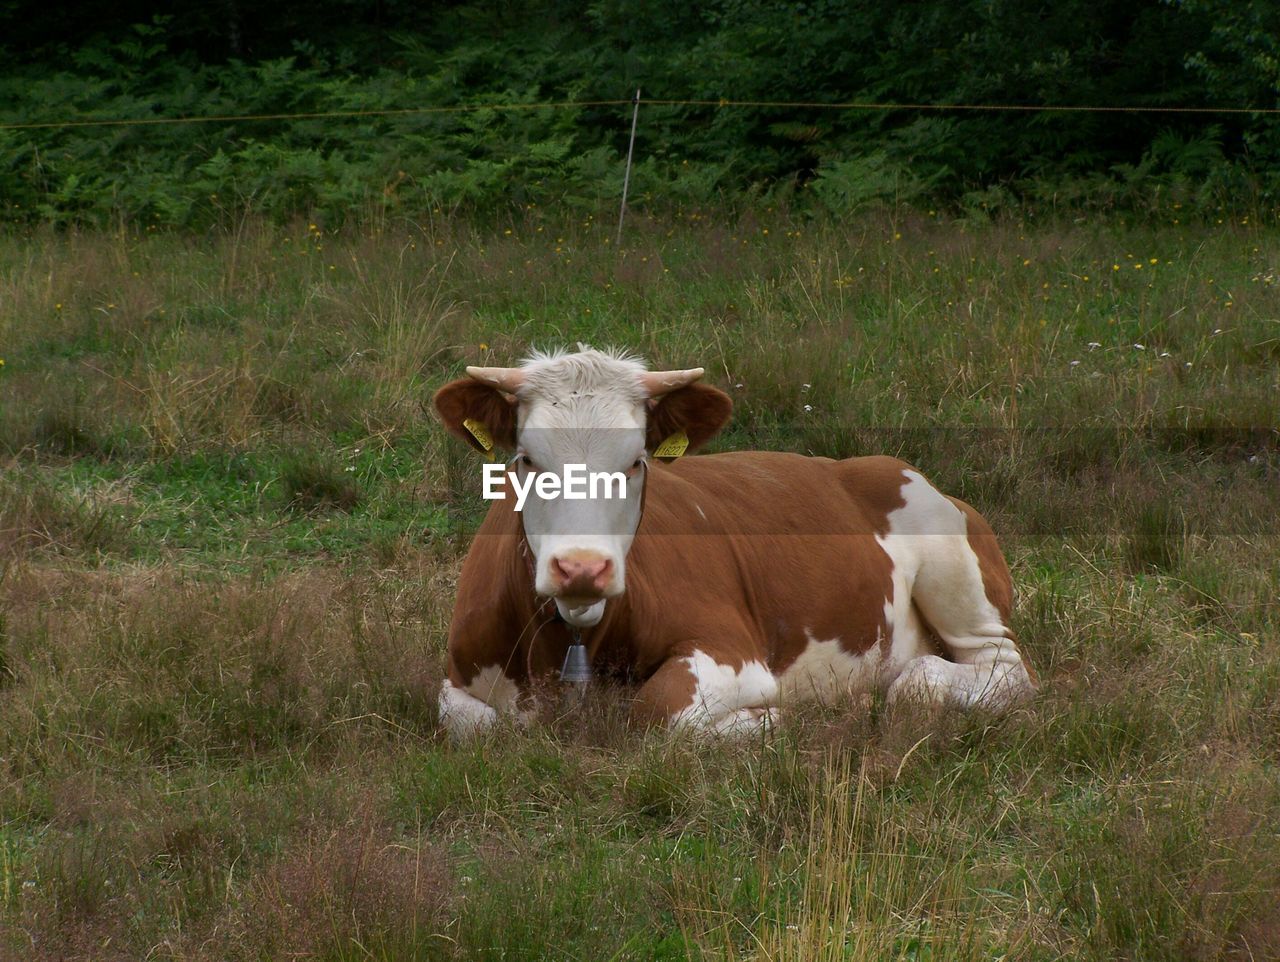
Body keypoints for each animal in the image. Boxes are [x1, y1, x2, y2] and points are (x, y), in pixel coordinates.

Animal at [435, 347, 1034, 736]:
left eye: (636, 462)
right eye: (526, 460)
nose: (582, 568)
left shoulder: (732, 652)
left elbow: (658, 713)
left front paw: (772, 721)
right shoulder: (457, 675)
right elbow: (472, 723)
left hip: (954, 572)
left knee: (984, 672)